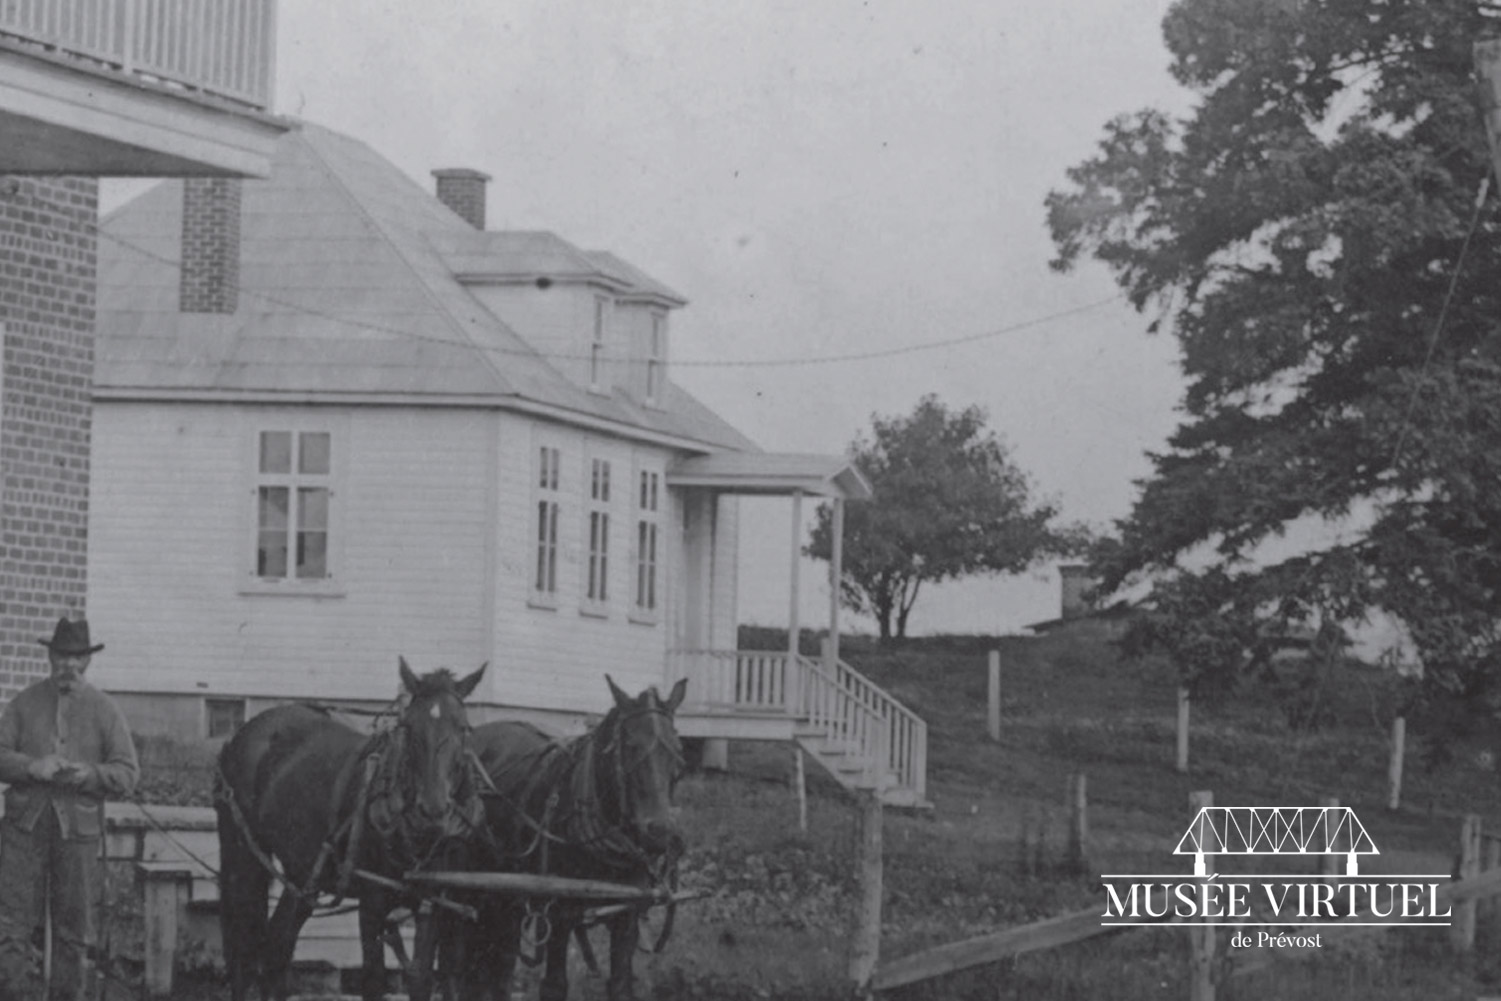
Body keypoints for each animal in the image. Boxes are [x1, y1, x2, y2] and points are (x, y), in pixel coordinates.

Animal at [217, 660, 483, 996]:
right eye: (408, 727)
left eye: (463, 728)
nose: (433, 810)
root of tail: (241, 734)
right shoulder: (371, 903)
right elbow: (373, 979)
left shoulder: (431, 903)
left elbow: (421, 979)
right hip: (243, 856)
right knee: (244, 952)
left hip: (304, 873)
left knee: (277, 946)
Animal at [459, 678, 687, 1001]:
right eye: (631, 746)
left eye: (678, 749)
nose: (659, 831)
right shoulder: (559, 914)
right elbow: (554, 986)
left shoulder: (627, 915)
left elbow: (621, 984)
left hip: (504, 897)